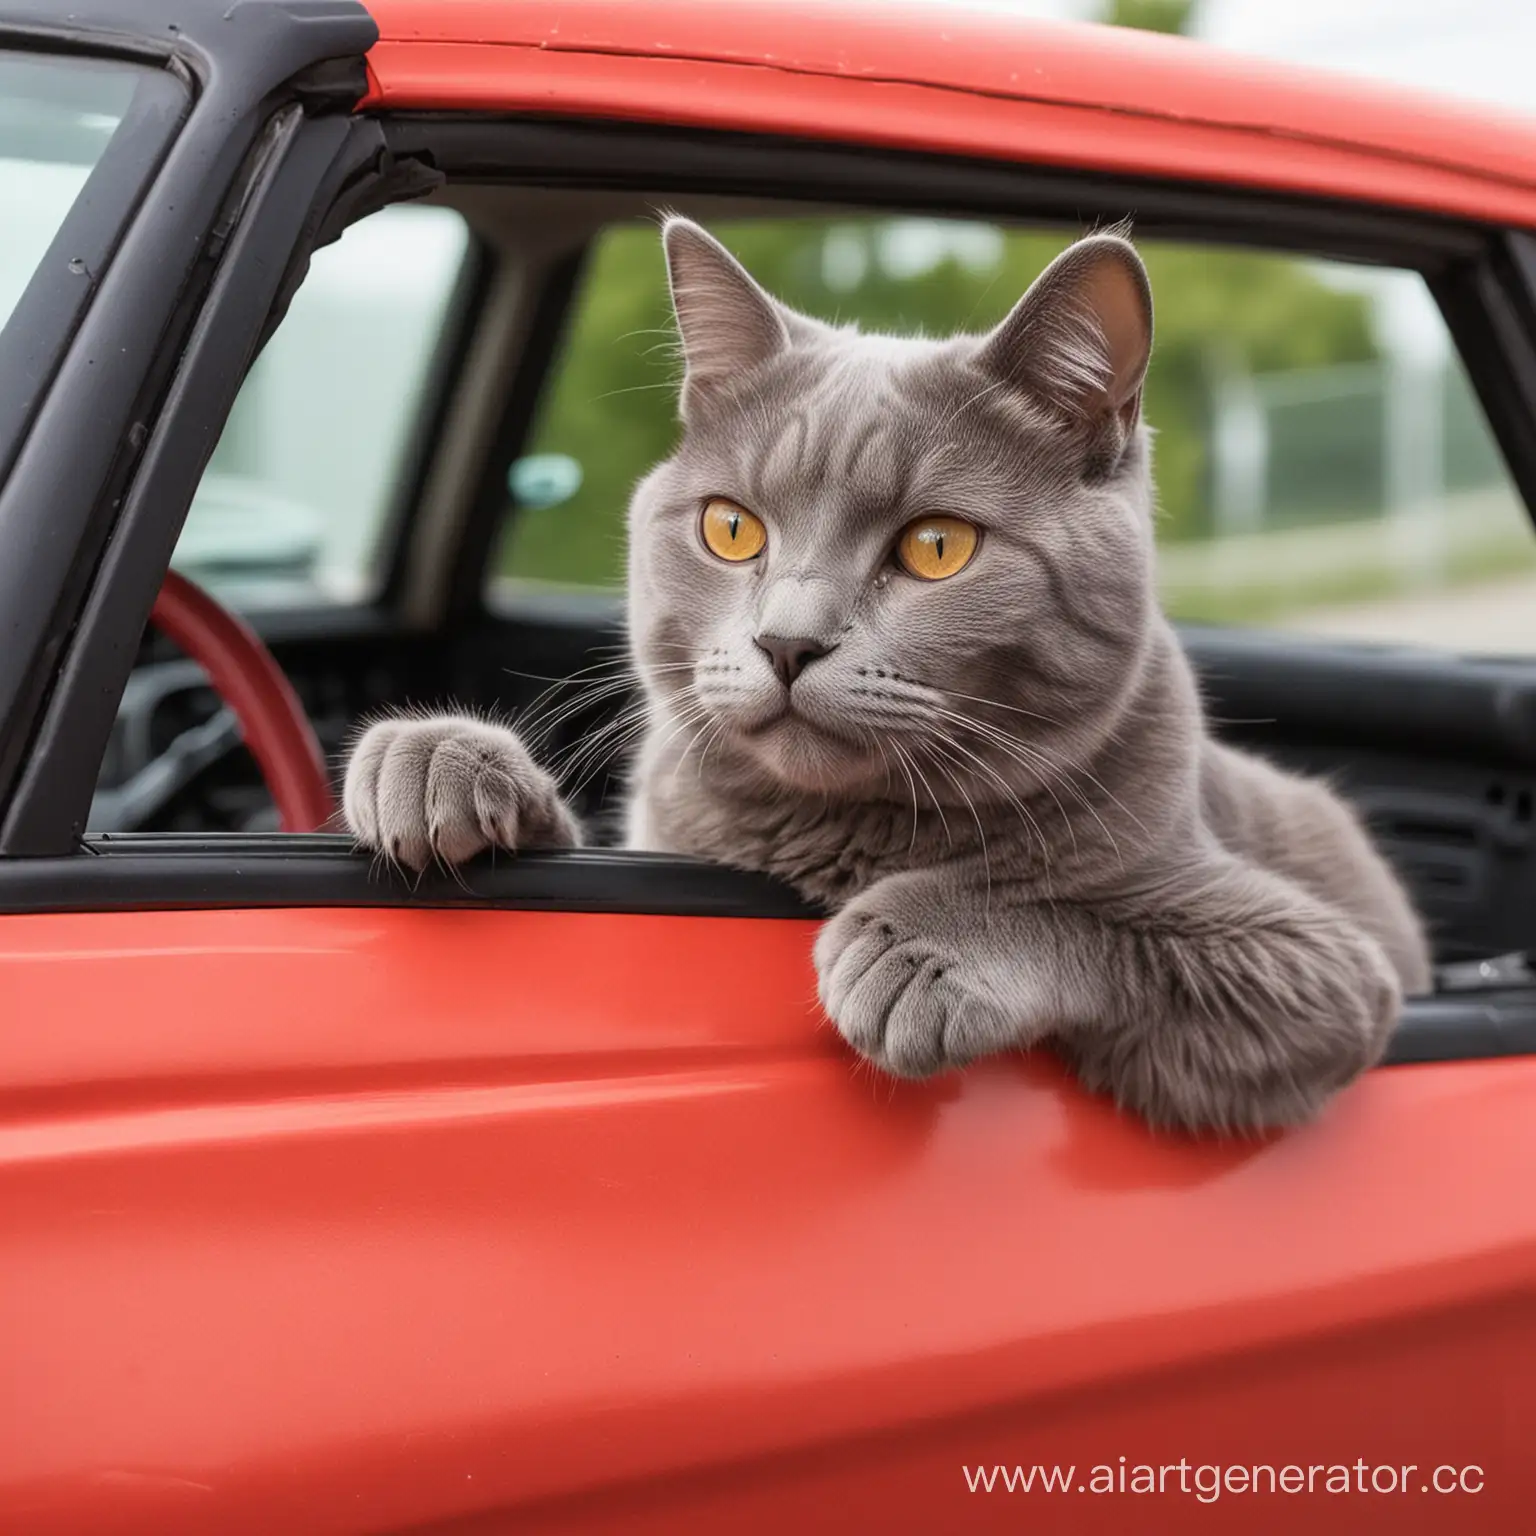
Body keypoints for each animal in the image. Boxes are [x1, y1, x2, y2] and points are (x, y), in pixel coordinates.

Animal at [345, 213, 1425, 1130]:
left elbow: (1083, 910)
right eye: (730, 528)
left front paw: (921, 947)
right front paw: (438, 757)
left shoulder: (1318, 973)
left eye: (937, 547)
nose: (788, 643)